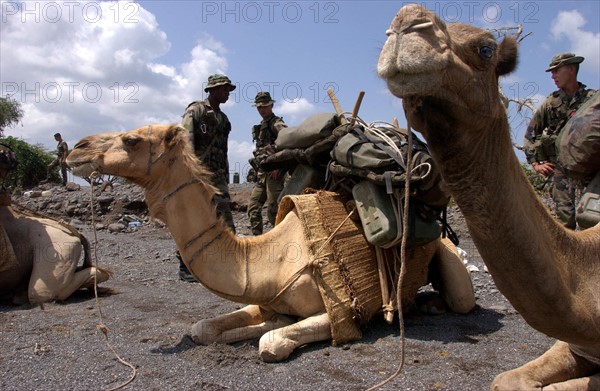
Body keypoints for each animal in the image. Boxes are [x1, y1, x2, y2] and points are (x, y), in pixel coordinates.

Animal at [65, 124, 476, 362]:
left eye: (131, 139)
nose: (77, 148)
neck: (269, 256)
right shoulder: (263, 298)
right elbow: (204, 329)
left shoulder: (343, 311)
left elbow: (271, 343)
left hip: (447, 256)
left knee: (462, 299)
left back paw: (432, 303)